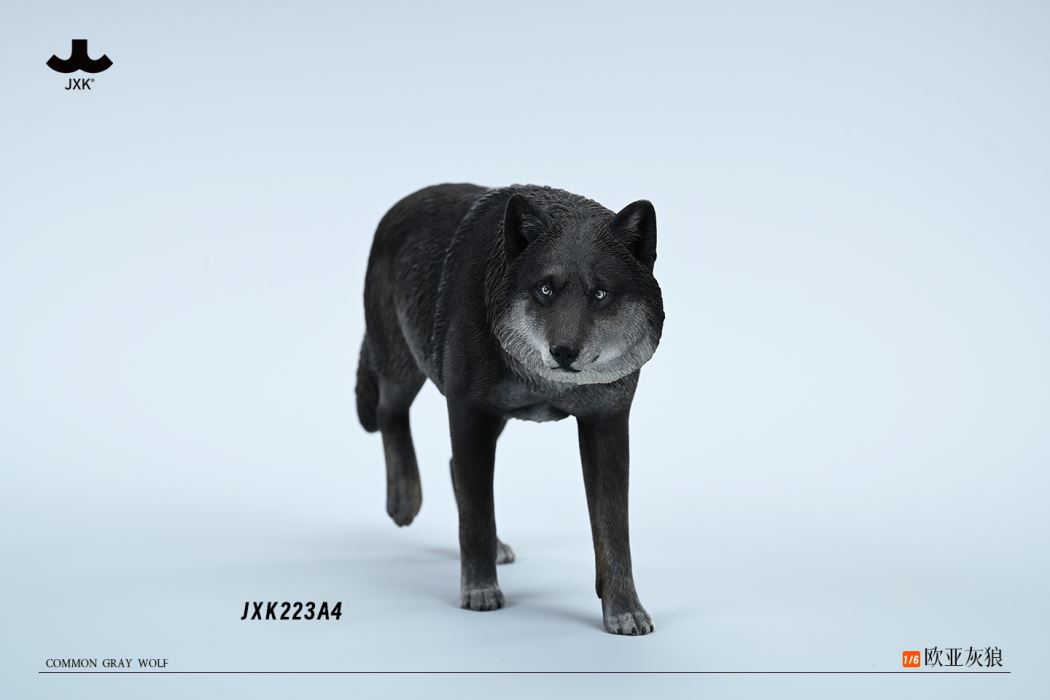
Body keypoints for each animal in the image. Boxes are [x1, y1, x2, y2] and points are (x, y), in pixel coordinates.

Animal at [356, 184, 664, 635]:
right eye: (546, 290)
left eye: (600, 293)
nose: (564, 352)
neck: (545, 381)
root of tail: (400, 205)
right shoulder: (469, 412)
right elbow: (477, 512)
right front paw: (480, 590)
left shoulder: (606, 424)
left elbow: (613, 531)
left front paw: (625, 610)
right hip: (403, 367)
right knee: (388, 413)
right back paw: (404, 501)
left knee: (452, 464)